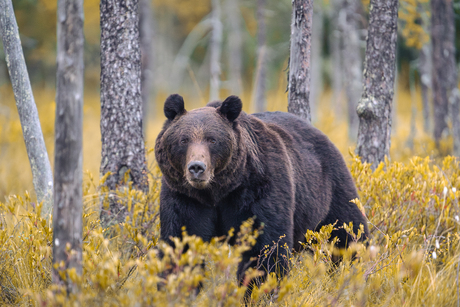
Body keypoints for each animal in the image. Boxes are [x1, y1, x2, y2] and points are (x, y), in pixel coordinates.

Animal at [155, 94, 370, 294]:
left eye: (212, 139)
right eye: (183, 139)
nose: (197, 168)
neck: (218, 191)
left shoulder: (259, 188)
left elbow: (265, 248)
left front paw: (259, 290)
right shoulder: (184, 197)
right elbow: (181, 244)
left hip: (330, 190)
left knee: (348, 234)